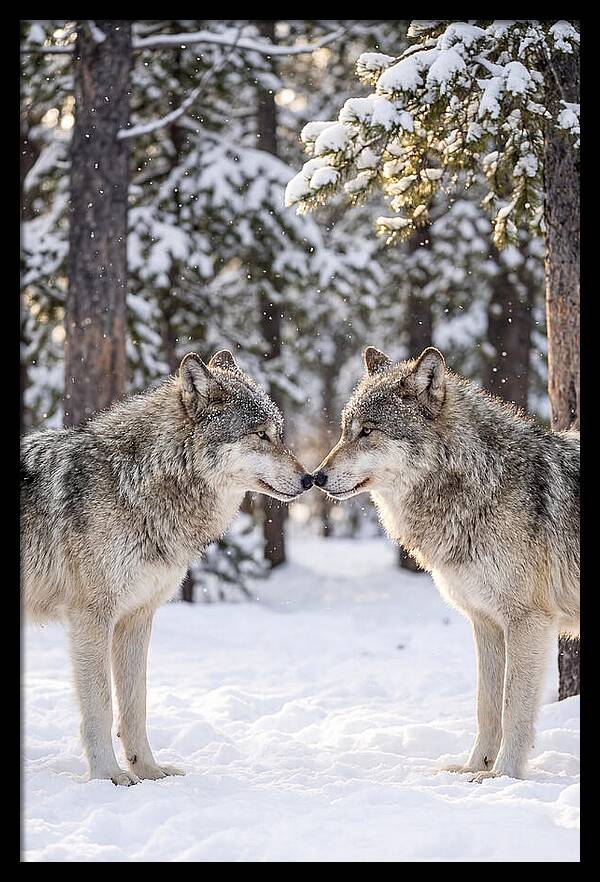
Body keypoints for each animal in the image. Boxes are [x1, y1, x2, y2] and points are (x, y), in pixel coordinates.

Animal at [21, 350, 313, 785]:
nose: (311, 478)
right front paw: (109, 775)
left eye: (278, 434)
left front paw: (149, 770)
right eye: (260, 435)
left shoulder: (138, 616)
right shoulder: (91, 617)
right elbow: (101, 705)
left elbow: (135, 704)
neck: (135, 484)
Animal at [313, 346, 579, 781]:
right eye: (345, 430)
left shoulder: (528, 621)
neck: (481, 483)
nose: (315, 477)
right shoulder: (486, 622)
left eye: (368, 431)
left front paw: (503, 776)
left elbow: (513, 709)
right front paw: (473, 767)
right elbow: (486, 707)